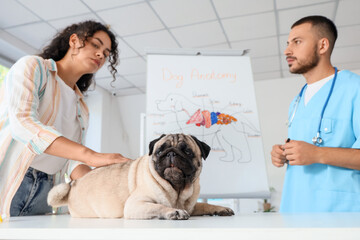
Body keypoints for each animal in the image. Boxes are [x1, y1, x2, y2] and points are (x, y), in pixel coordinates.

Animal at [47, 133, 233, 219]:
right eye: (159, 151)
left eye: (187, 152)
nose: (171, 153)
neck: (177, 190)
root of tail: (73, 185)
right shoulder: (136, 204)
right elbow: (159, 206)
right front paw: (174, 212)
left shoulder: (192, 206)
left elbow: (204, 205)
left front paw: (220, 208)